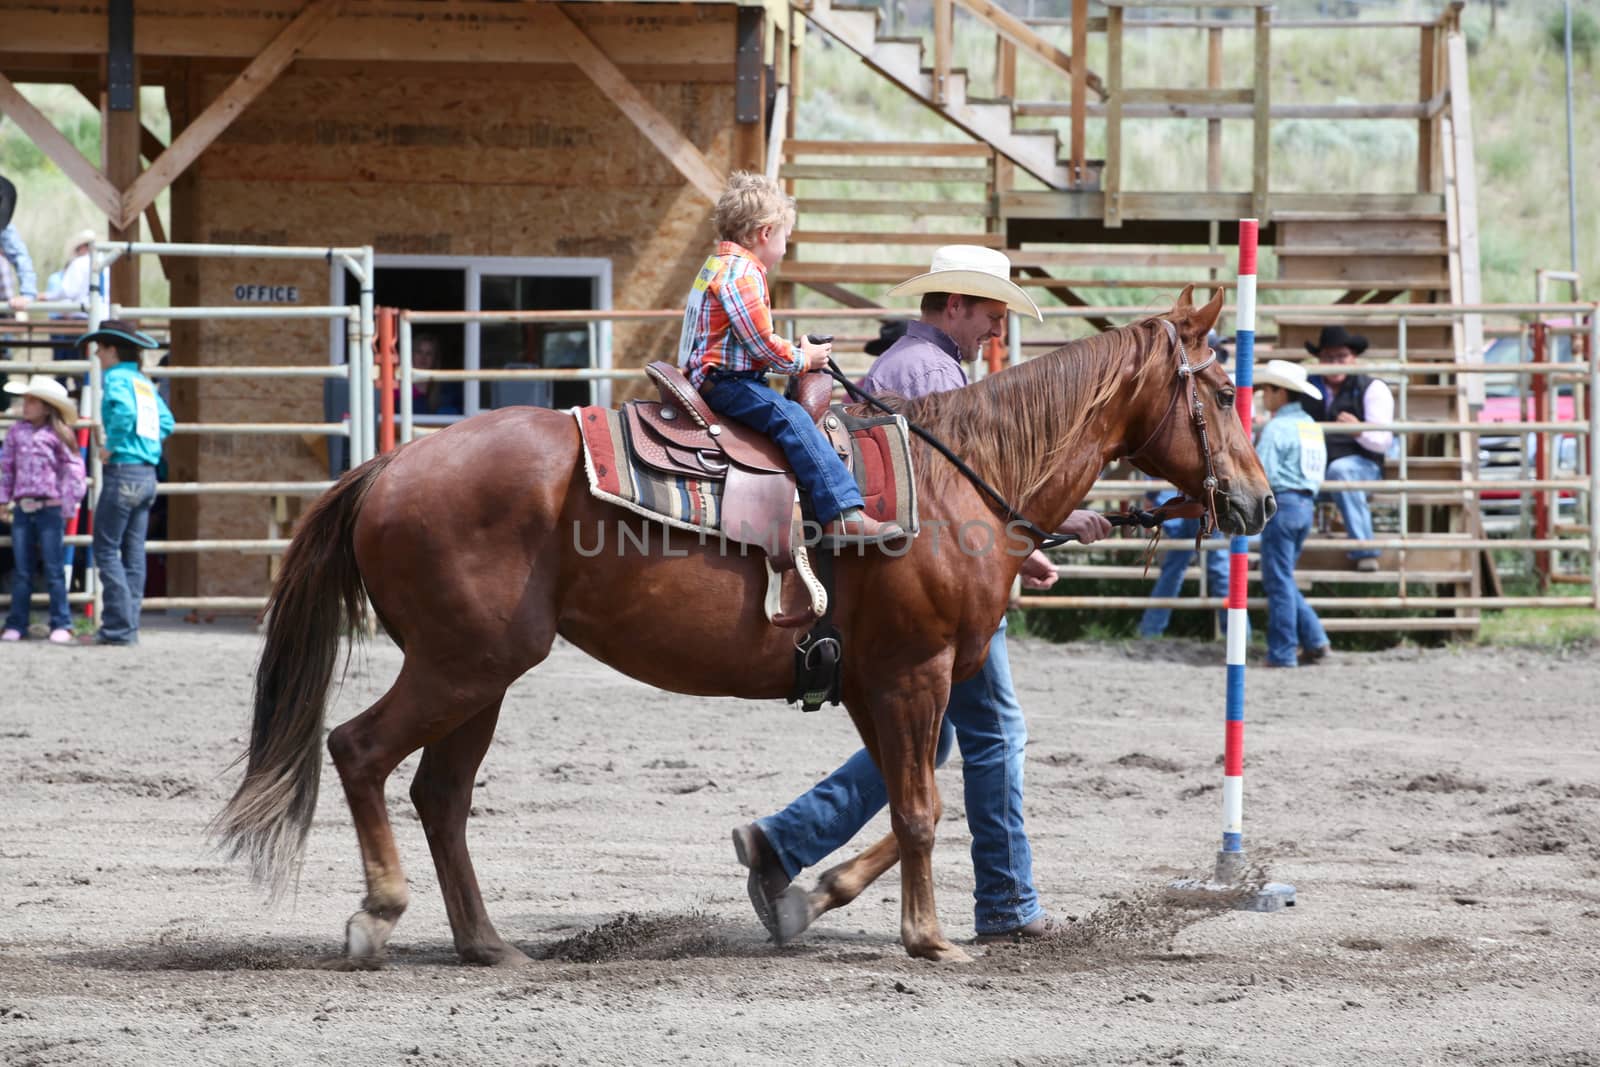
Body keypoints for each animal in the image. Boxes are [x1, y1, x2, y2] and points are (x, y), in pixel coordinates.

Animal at [216, 286, 1273, 966]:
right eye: (1216, 389)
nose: (1259, 500)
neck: (960, 481)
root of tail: (391, 466)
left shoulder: (874, 680)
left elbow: (909, 797)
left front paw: (805, 891)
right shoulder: (915, 672)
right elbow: (925, 807)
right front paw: (929, 937)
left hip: (481, 674)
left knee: (440, 793)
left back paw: (486, 942)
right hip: (460, 666)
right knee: (359, 750)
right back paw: (378, 915)